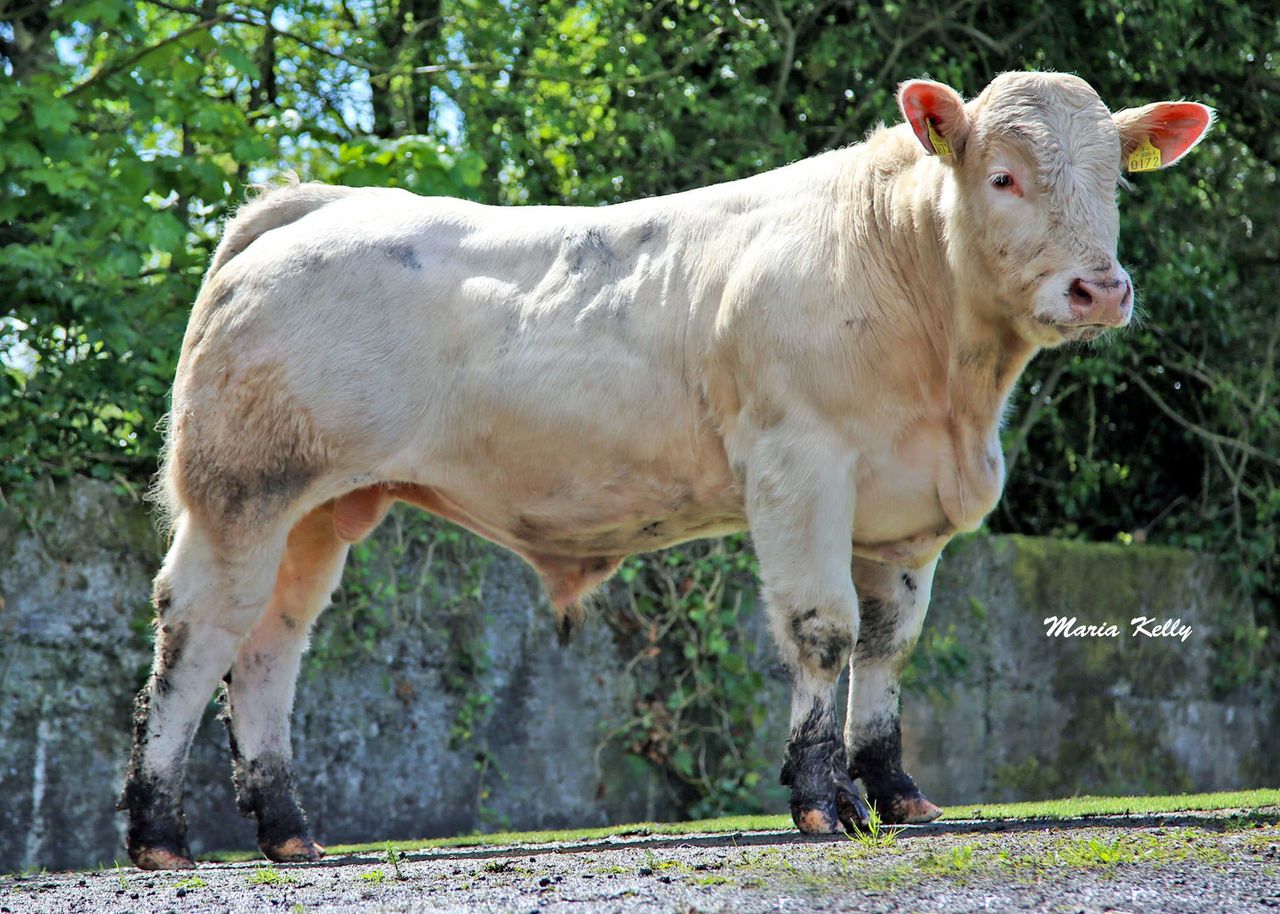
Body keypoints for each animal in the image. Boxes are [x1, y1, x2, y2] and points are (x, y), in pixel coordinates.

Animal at [119, 71, 1213, 869]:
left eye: (1117, 179)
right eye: (1003, 177)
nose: (1098, 288)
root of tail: (311, 205)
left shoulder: (905, 516)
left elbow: (888, 646)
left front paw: (895, 793)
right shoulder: (799, 467)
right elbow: (824, 633)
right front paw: (822, 801)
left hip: (322, 507)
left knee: (270, 645)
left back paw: (288, 831)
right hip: (241, 490)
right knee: (200, 631)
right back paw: (160, 834)